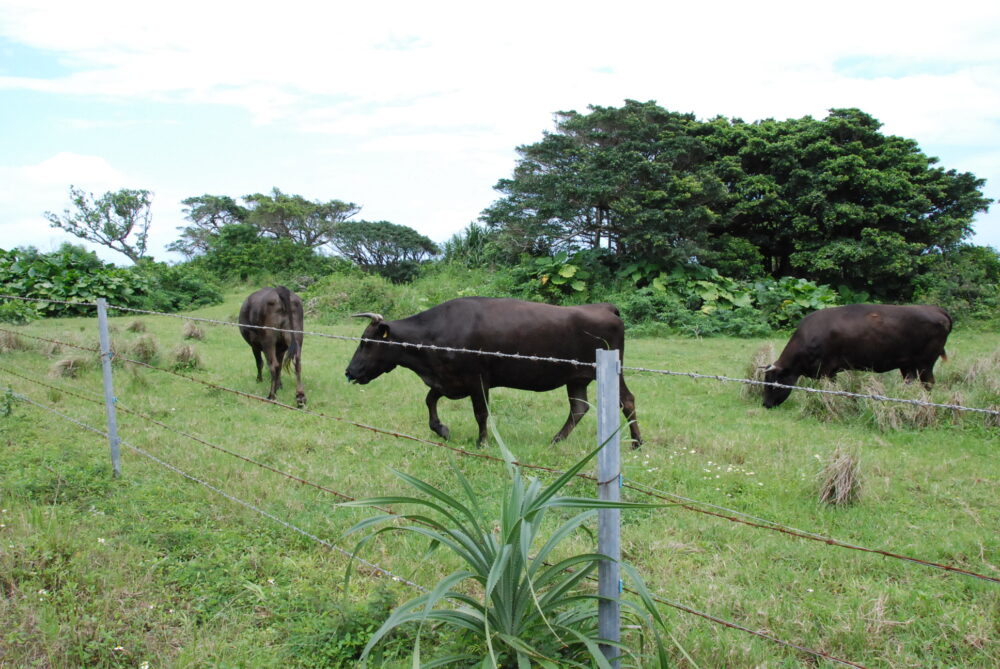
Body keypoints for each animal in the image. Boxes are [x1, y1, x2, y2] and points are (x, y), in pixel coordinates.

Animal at [344, 294, 640, 446]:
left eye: (366, 342)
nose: (349, 372)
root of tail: (605, 307)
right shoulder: (448, 380)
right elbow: (429, 400)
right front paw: (441, 429)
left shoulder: (477, 379)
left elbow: (480, 413)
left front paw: (482, 442)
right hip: (576, 378)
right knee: (578, 408)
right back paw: (556, 440)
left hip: (613, 372)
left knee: (627, 401)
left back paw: (637, 443)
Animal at [764, 302, 952, 408]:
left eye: (774, 384)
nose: (765, 404)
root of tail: (935, 309)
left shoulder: (826, 371)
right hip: (908, 365)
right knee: (910, 382)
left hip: (925, 363)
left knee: (928, 383)